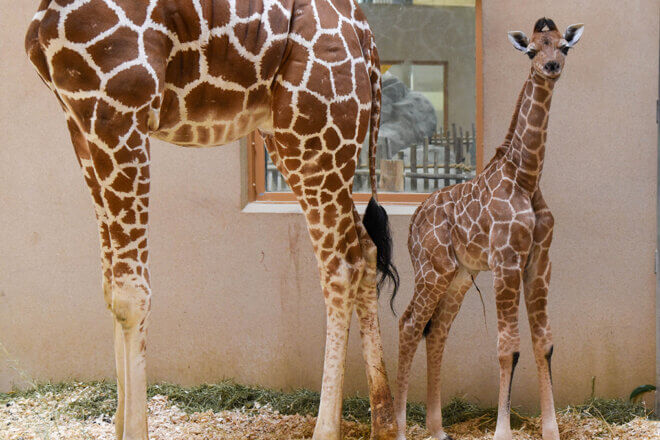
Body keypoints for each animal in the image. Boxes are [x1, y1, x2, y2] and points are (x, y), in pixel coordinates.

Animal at [24, 0, 400, 439]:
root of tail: (365, 32)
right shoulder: (80, 119)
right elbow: (109, 288)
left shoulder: (119, 108)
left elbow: (130, 296)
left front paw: (134, 430)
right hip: (295, 136)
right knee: (366, 247)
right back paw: (385, 425)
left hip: (314, 134)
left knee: (342, 265)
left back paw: (326, 429)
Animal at [392, 18, 584, 440]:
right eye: (531, 50)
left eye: (563, 46)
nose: (551, 67)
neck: (526, 177)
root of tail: (412, 223)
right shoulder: (506, 262)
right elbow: (507, 346)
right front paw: (502, 431)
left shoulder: (538, 262)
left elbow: (544, 342)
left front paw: (551, 430)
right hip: (431, 270)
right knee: (410, 324)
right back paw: (396, 428)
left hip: (459, 274)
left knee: (437, 330)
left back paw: (437, 429)